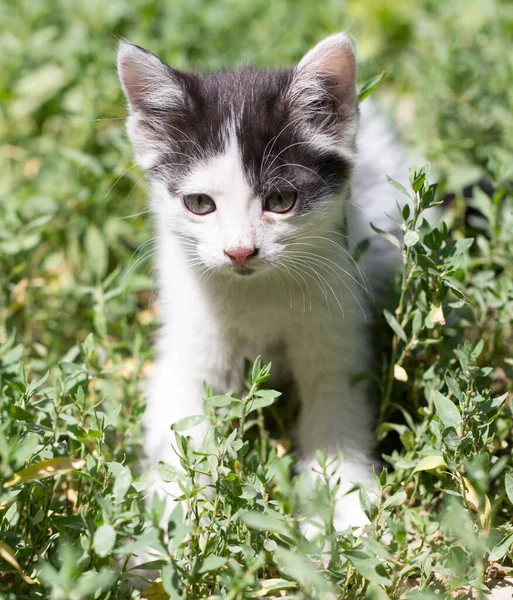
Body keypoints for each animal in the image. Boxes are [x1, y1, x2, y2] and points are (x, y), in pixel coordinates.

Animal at [118, 31, 406, 528]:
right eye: (199, 203)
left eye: (281, 199)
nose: (239, 251)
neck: (257, 292)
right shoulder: (189, 343)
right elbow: (182, 426)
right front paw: (169, 527)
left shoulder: (337, 333)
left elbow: (335, 411)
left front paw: (346, 510)